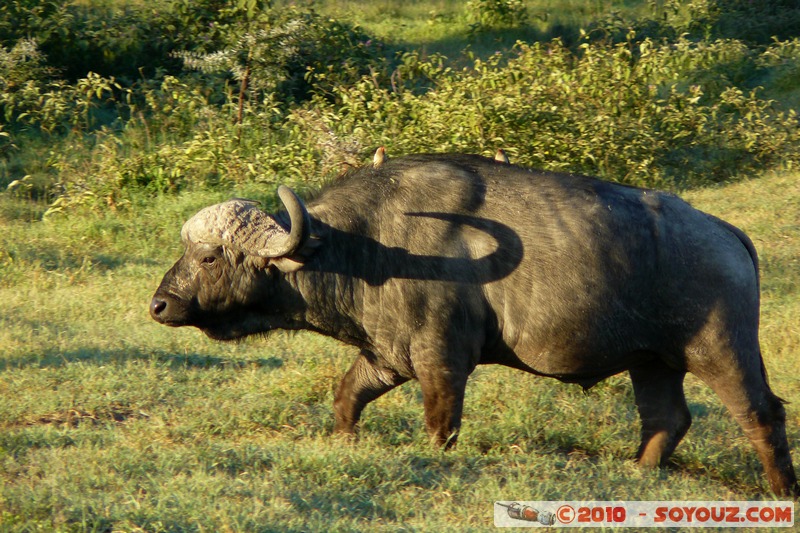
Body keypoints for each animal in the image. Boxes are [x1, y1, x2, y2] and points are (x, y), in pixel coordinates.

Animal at [152, 150, 800, 494]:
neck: (369, 246)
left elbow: (441, 426)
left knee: (762, 413)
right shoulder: (385, 357)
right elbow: (345, 397)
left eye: (207, 258)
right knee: (667, 419)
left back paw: (780, 490)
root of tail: (726, 234)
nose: (159, 304)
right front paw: (345, 441)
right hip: (653, 363)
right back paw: (639, 476)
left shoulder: (442, 363)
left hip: (720, 350)